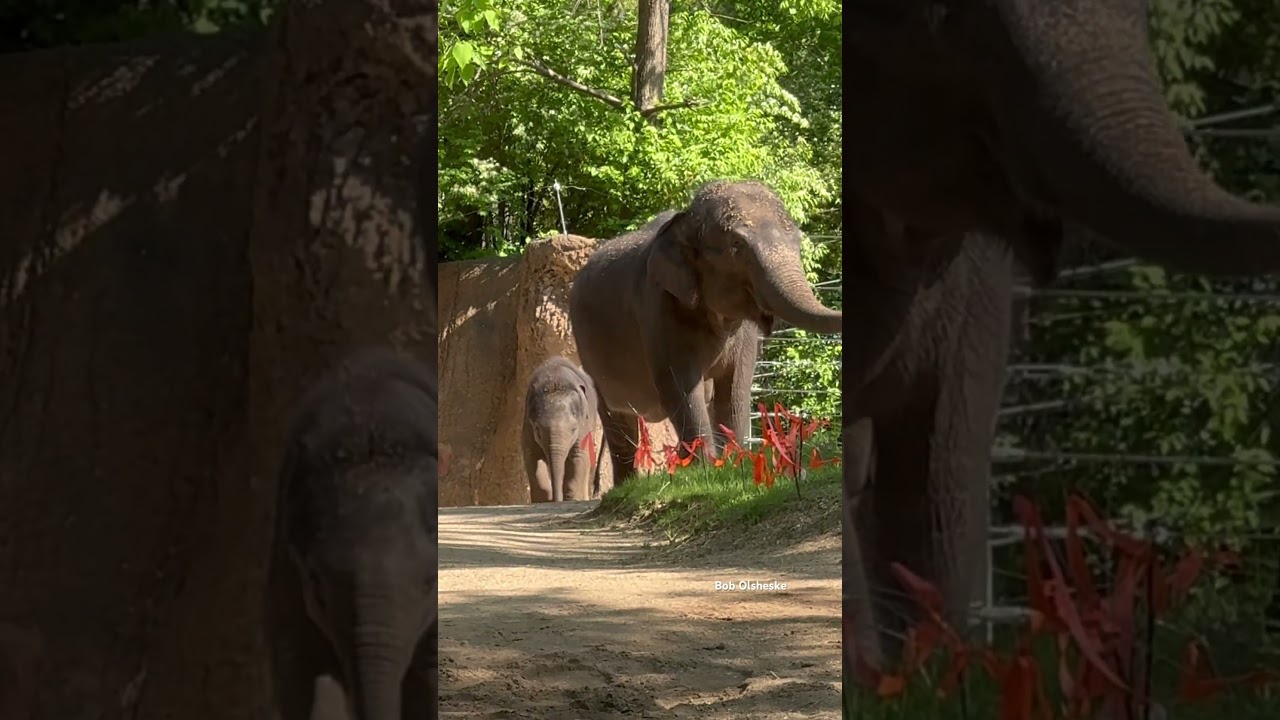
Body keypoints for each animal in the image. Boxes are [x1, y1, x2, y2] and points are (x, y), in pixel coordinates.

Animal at [522, 356, 600, 502]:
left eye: (573, 430)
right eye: (537, 431)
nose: (556, 500)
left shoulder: (584, 425)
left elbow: (579, 456)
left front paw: (572, 499)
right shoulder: (527, 426)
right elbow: (532, 456)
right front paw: (543, 501)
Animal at [568, 180, 842, 487]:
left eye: (797, 241)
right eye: (736, 246)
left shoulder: (742, 332)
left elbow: (735, 386)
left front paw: (733, 464)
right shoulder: (658, 311)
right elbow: (681, 388)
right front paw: (705, 469)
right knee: (617, 420)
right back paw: (628, 484)